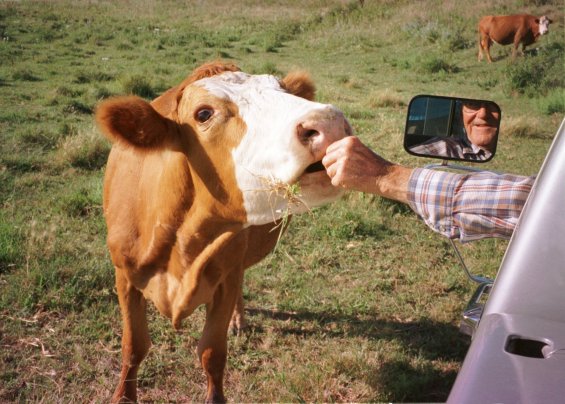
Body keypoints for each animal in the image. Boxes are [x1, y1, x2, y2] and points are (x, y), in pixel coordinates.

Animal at [97, 61, 352, 402]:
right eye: (204, 113)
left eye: (283, 88)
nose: (330, 122)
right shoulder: (124, 276)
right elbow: (134, 346)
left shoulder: (224, 279)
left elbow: (212, 353)